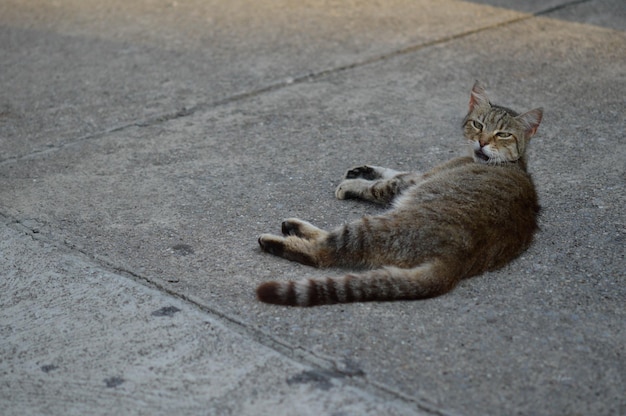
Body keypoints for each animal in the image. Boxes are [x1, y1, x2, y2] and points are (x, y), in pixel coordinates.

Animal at [256, 83, 540, 308]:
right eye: (478, 124)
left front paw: (353, 184)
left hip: (372, 226)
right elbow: (393, 170)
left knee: (324, 253)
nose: (482, 142)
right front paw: (363, 170)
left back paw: (278, 238)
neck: (514, 163)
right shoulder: (420, 174)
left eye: (503, 134)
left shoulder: (413, 182)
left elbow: (382, 184)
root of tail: (455, 261)